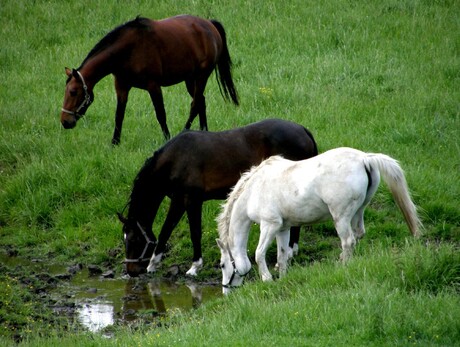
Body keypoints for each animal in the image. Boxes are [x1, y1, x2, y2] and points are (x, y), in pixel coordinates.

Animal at [59, 14, 239, 145]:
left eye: (73, 92)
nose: (65, 122)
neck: (128, 50)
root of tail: (209, 24)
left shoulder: (153, 86)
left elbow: (161, 114)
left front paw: (167, 139)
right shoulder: (121, 86)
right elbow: (119, 115)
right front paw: (115, 142)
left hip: (201, 76)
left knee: (195, 105)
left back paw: (185, 131)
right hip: (190, 79)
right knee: (200, 101)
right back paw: (203, 131)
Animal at [117, 119, 318, 278]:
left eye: (134, 240)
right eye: (124, 239)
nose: (131, 271)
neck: (175, 160)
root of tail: (302, 130)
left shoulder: (190, 201)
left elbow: (189, 232)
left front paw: (194, 267)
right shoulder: (180, 201)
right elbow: (167, 231)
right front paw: (153, 264)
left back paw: (289, 252)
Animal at [217, 148, 422, 292]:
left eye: (222, 265)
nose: (226, 291)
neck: (253, 190)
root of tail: (364, 158)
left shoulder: (270, 225)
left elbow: (259, 254)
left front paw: (267, 279)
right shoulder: (283, 229)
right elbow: (282, 256)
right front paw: (283, 278)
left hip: (341, 217)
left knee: (348, 241)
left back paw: (343, 265)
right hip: (358, 211)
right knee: (358, 235)